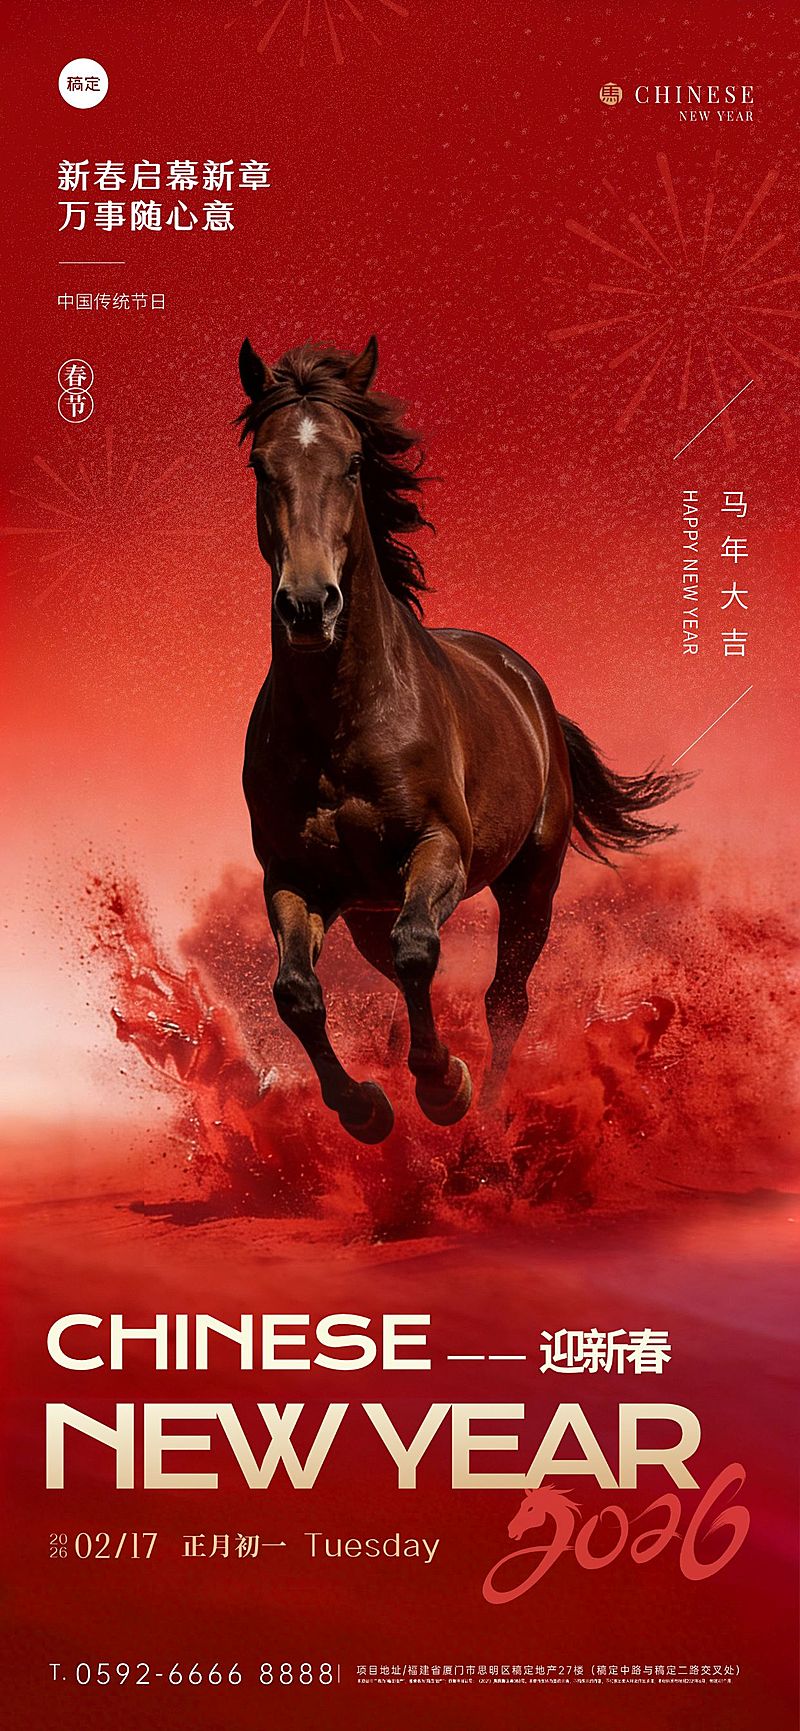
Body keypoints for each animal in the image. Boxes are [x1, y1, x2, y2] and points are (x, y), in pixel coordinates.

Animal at [237, 336, 685, 1145]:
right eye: (261, 464)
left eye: (354, 462)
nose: (310, 605)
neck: (342, 721)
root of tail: (529, 686)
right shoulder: (292, 876)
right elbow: (296, 992)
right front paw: (368, 1109)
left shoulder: (439, 846)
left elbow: (422, 951)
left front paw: (445, 1087)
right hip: (365, 911)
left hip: (531, 882)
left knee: (505, 997)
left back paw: (491, 1115)